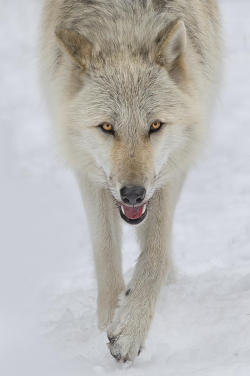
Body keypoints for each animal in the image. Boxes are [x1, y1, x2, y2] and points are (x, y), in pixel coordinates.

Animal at [39, 0, 221, 364]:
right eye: (107, 127)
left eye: (155, 125)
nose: (134, 194)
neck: (125, 21)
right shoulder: (90, 174)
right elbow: (106, 251)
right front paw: (110, 318)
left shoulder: (170, 170)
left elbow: (155, 252)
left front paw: (131, 328)